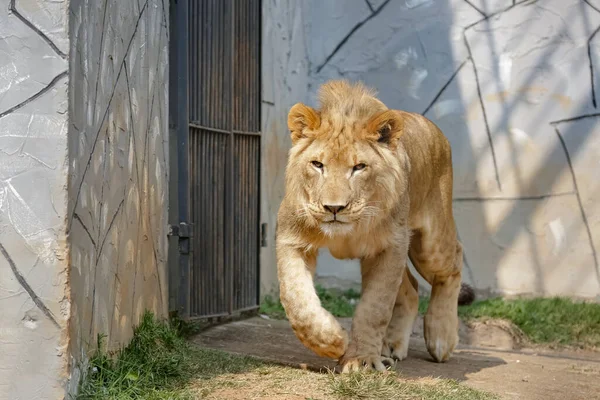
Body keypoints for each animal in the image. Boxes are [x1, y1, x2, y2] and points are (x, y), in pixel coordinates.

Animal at [274, 79, 476, 374]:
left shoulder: (390, 246)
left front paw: (361, 360)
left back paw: (441, 338)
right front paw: (332, 341)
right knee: (411, 288)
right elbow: (296, 300)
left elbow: (375, 308)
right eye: (317, 164)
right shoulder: (291, 238)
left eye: (359, 167)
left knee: (454, 261)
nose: (334, 208)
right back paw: (392, 346)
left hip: (429, 245)